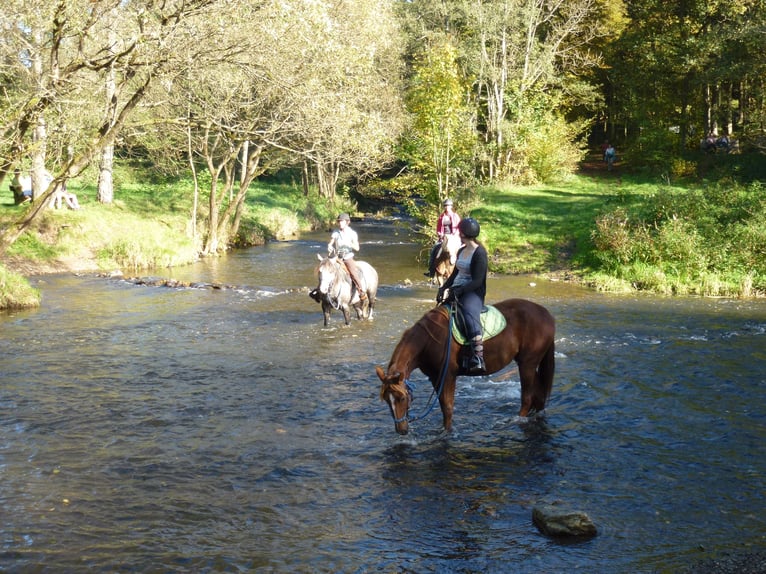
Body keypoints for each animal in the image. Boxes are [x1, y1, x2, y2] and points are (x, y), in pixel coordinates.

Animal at [378, 300, 560, 434]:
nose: (401, 430)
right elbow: (443, 406)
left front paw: (447, 432)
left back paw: (516, 421)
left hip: (527, 364)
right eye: (387, 400)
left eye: (402, 398)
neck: (429, 340)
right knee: (539, 394)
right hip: (530, 364)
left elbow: (448, 407)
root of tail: (547, 315)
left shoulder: (448, 375)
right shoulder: (435, 377)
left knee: (527, 397)